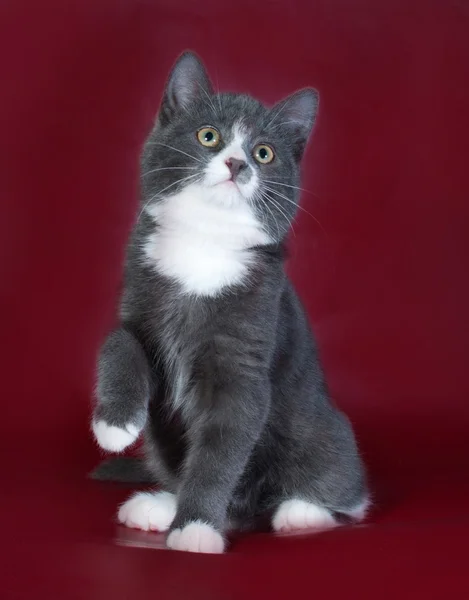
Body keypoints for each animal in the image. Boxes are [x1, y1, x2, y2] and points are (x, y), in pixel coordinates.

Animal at [91, 51, 368, 552]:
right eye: (208, 136)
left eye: (264, 152)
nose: (238, 163)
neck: (205, 241)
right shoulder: (140, 291)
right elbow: (120, 341)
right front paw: (115, 425)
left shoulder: (245, 352)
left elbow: (223, 444)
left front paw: (197, 527)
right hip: (164, 443)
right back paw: (159, 505)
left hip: (323, 429)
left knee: (347, 491)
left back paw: (300, 512)